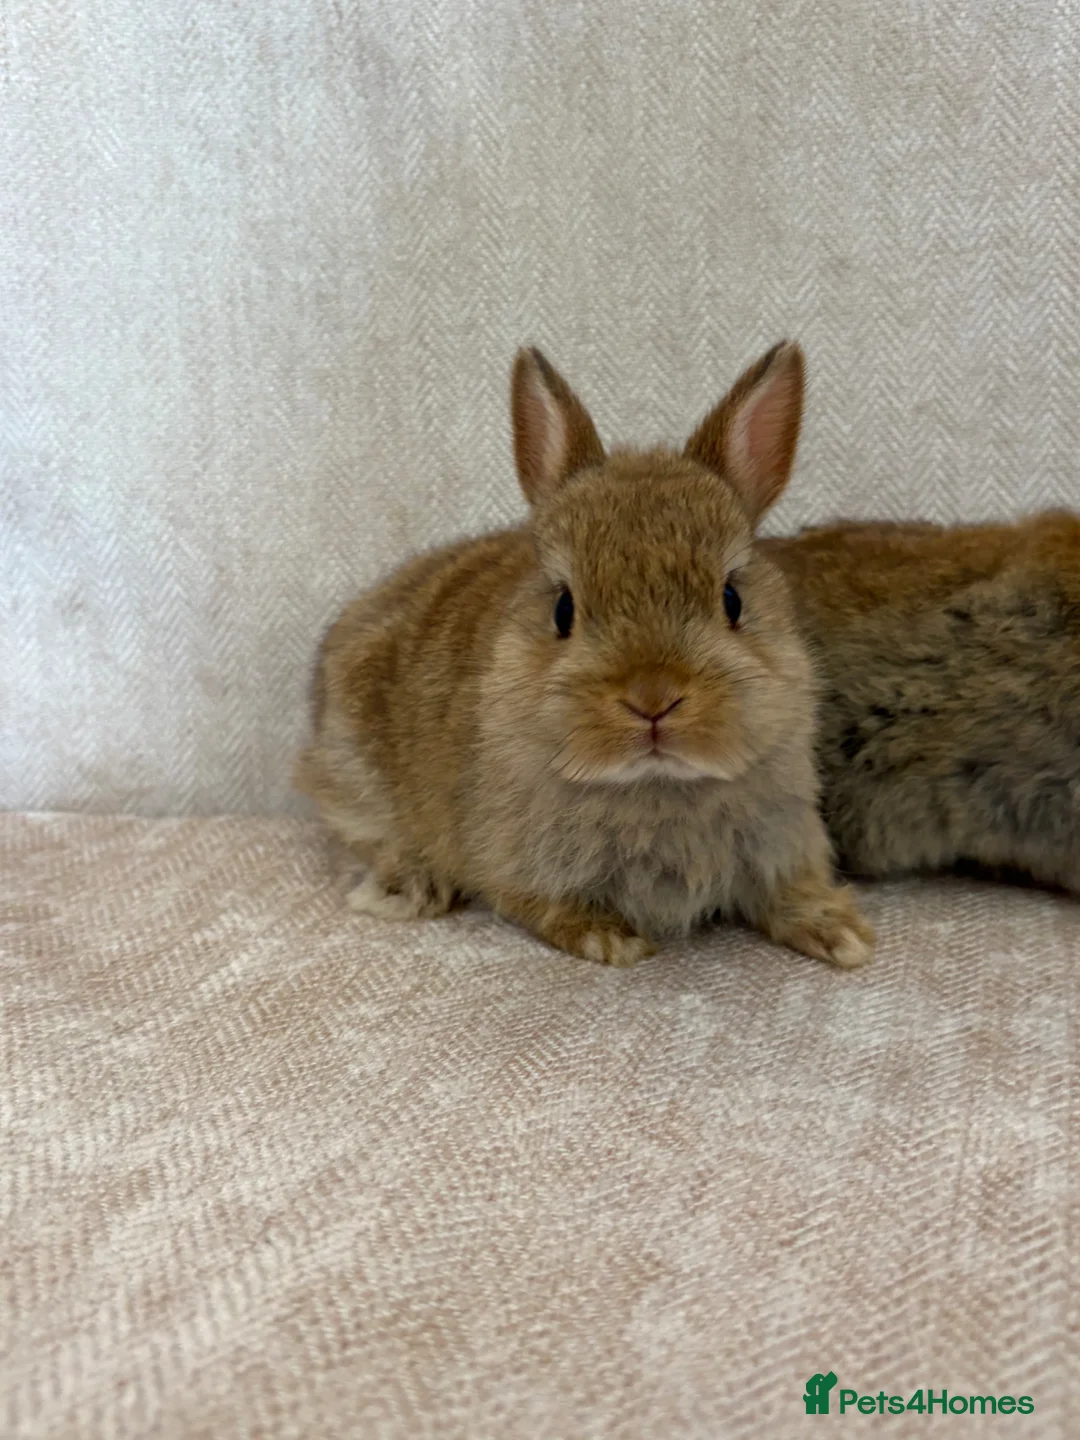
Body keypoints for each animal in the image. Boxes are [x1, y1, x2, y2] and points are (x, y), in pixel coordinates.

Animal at [294, 342, 874, 969]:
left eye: (732, 599)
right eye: (563, 609)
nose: (652, 698)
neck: (654, 785)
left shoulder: (782, 837)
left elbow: (790, 891)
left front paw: (843, 936)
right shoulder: (516, 863)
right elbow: (545, 908)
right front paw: (613, 940)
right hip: (355, 773)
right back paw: (407, 889)